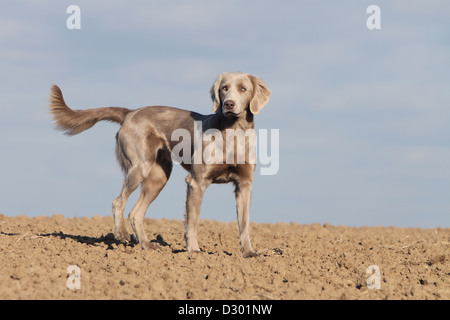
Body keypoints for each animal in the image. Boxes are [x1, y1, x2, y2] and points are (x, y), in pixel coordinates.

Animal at [51, 72, 272, 258]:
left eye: (243, 88)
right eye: (224, 88)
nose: (228, 104)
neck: (234, 133)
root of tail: (130, 113)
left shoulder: (244, 185)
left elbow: (244, 222)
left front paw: (249, 252)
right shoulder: (197, 182)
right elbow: (193, 220)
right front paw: (194, 251)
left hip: (159, 177)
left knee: (135, 213)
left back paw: (147, 245)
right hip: (139, 168)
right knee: (118, 202)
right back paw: (121, 234)